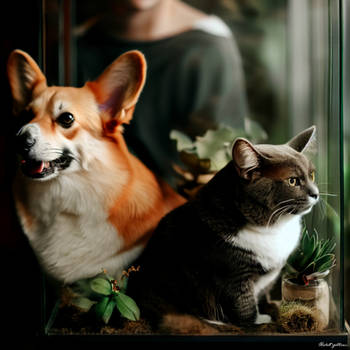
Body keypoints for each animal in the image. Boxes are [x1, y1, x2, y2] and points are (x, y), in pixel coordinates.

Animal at [128, 126, 318, 328]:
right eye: (292, 181)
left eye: (312, 175)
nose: (316, 194)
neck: (273, 227)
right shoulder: (233, 276)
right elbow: (243, 304)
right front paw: (257, 321)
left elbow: (261, 294)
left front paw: (268, 308)